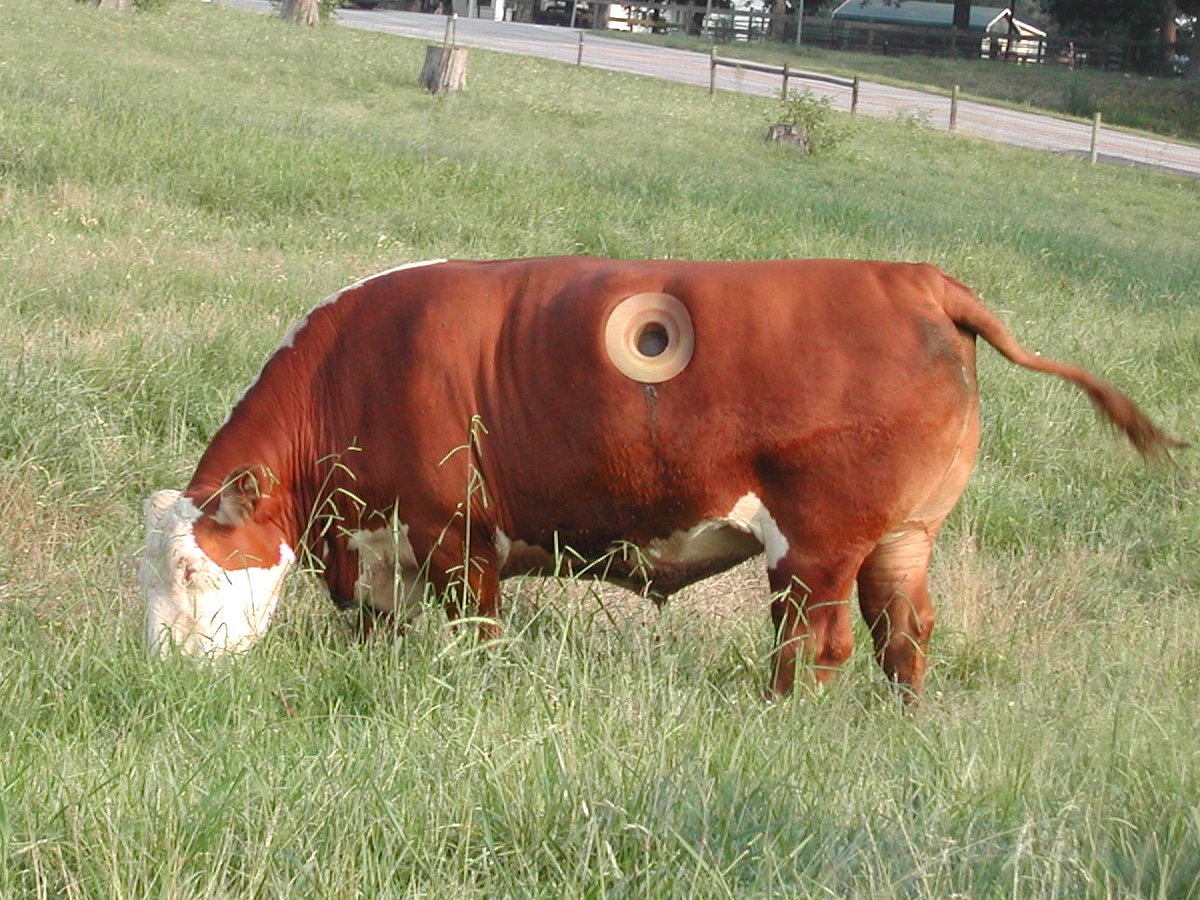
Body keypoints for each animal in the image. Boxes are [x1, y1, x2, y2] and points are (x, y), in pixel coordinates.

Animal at [139, 257, 1184, 698]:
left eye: (191, 570)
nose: (158, 674)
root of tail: (923, 281)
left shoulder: (457, 537)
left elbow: (476, 634)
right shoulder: (377, 549)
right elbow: (381, 630)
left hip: (816, 544)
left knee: (818, 643)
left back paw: (777, 717)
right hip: (901, 537)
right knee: (904, 634)